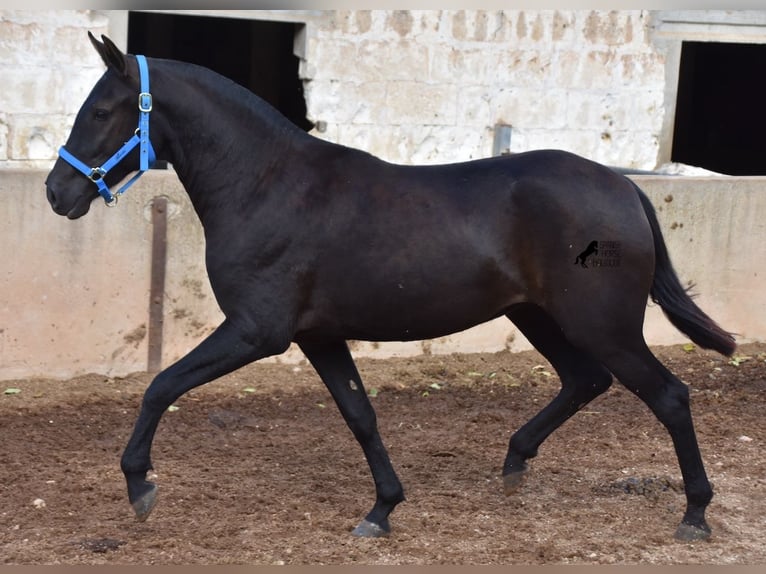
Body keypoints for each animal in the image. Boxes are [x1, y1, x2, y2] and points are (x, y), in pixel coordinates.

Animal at [43, 36, 736, 544]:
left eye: (100, 111)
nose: (56, 192)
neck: (268, 185)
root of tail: (625, 188)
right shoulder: (318, 335)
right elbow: (361, 416)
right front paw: (382, 510)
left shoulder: (256, 331)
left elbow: (161, 385)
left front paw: (140, 487)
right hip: (538, 316)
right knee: (585, 380)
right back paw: (514, 465)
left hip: (603, 324)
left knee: (669, 396)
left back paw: (695, 516)